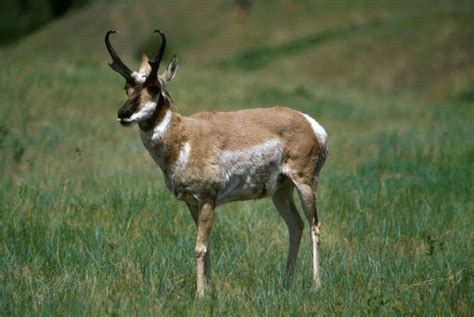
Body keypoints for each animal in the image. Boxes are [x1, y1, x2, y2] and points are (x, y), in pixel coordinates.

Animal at [105, 28, 328, 296]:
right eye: (126, 86)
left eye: (154, 87)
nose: (123, 114)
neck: (185, 137)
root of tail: (309, 123)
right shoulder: (192, 202)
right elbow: (206, 245)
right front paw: (209, 289)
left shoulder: (208, 199)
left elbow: (199, 247)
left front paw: (200, 295)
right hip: (280, 190)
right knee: (296, 226)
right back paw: (286, 282)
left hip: (304, 183)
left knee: (314, 225)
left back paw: (316, 285)